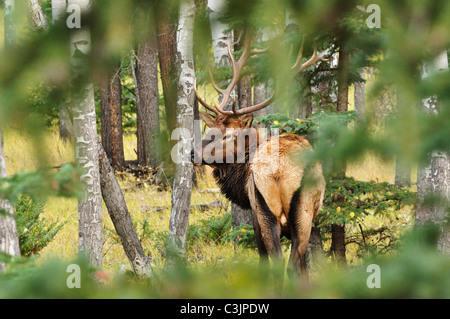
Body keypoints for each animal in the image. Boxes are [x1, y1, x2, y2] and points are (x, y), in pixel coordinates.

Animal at [191, 33, 326, 278]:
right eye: (209, 129)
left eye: (228, 135)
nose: (192, 152)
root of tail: (280, 171)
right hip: (295, 216)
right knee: (288, 262)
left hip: (271, 214)